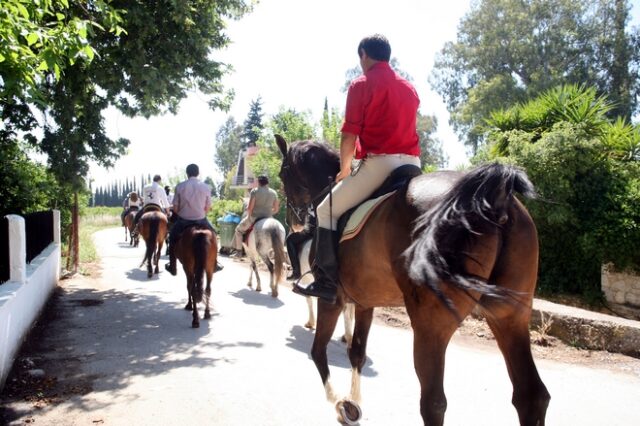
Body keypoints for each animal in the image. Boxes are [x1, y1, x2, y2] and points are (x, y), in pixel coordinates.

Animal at [276, 136, 552, 426]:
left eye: (283, 174)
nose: (294, 222)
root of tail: (493, 195)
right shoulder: (365, 301)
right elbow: (357, 353)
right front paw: (352, 404)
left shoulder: (333, 299)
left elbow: (318, 351)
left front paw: (340, 403)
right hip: (510, 319)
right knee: (530, 396)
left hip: (431, 325)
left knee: (433, 403)